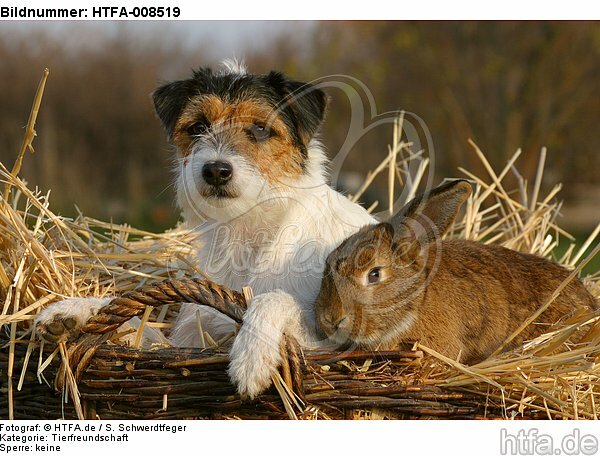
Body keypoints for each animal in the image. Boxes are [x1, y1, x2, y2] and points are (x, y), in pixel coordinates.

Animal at [35, 58, 376, 398]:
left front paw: (251, 356)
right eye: (198, 127)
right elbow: (137, 326)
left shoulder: (333, 342)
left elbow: (273, 299)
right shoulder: (190, 337)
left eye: (260, 128)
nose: (215, 170)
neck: (246, 231)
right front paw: (74, 311)